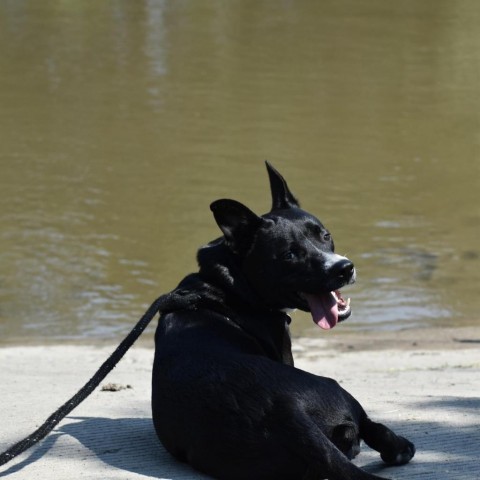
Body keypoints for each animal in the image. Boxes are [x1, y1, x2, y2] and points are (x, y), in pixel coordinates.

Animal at [152, 163, 414, 478]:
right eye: (290, 254)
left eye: (325, 235)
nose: (343, 268)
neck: (229, 285)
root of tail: (288, 414)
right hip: (336, 388)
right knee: (373, 430)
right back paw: (399, 447)